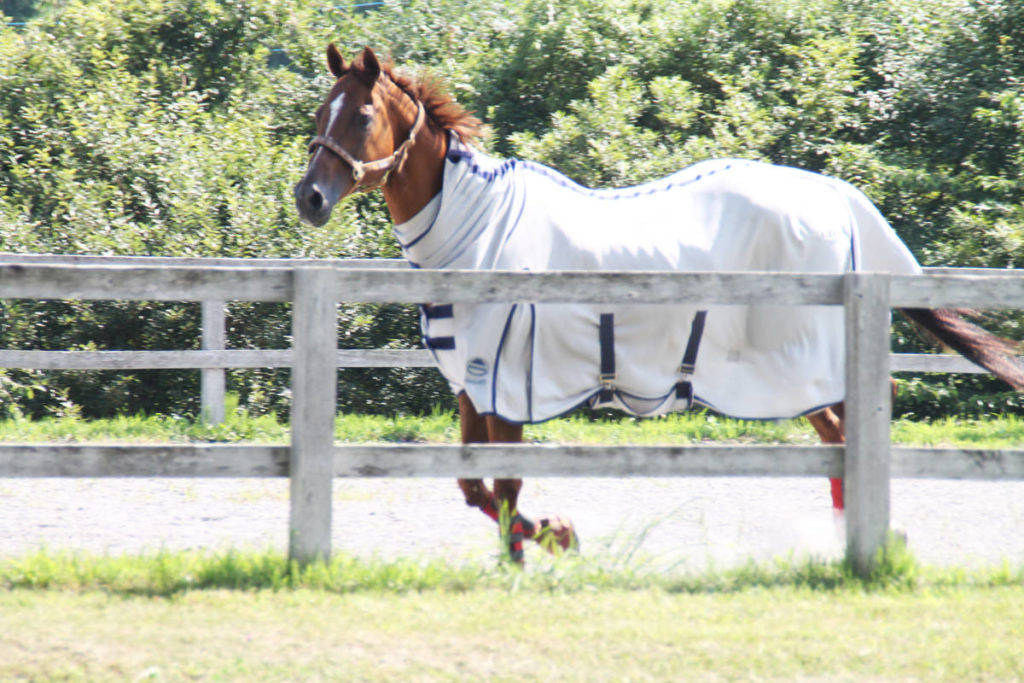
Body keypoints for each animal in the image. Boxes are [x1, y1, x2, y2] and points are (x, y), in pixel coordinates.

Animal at [294, 45, 1024, 565]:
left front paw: (546, 542)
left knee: (858, 425)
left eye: (361, 116)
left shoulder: (509, 383)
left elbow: (505, 487)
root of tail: (835, 196)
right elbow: (477, 488)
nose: (309, 197)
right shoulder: (474, 385)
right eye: (319, 116)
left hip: (801, 363)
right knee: (841, 443)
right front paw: (546, 536)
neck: (477, 232)